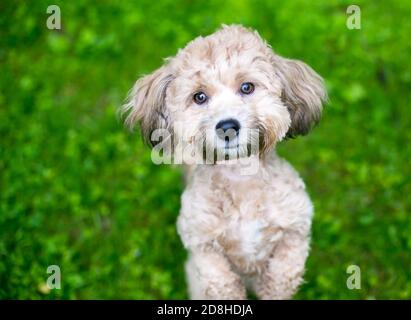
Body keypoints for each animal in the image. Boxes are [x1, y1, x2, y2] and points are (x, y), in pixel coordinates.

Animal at [122, 25, 328, 300]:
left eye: (247, 87)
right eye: (199, 97)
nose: (228, 127)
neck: (240, 177)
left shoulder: (296, 228)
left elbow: (283, 273)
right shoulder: (202, 245)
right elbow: (223, 281)